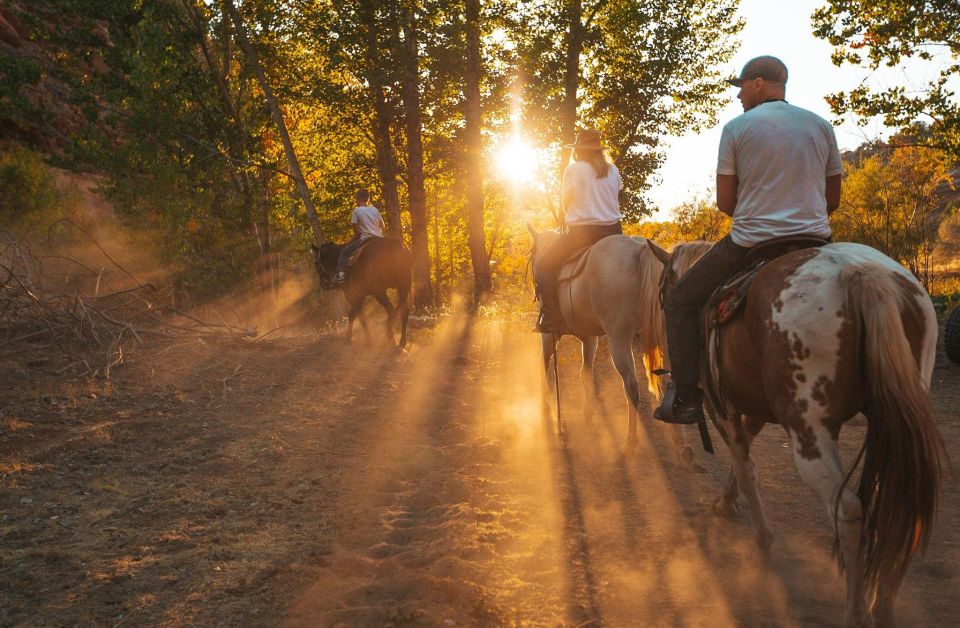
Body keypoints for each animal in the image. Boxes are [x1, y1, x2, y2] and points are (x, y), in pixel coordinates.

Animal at [524, 224, 688, 456]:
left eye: (532, 252)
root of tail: (640, 250)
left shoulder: (548, 334)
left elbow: (544, 363)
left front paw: (546, 406)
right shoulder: (590, 338)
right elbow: (585, 373)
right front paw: (587, 413)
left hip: (618, 338)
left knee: (631, 385)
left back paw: (630, 441)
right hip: (664, 336)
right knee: (672, 382)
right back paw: (682, 445)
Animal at [644, 238, 944, 624]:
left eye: (664, 289)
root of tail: (858, 273)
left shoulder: (718, 404)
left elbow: (746, 469)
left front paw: (762, 540)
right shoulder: (756, 407)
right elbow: (743, 457)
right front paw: (725, 502)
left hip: (809, 433)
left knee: (848, 510)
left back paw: (857, 612)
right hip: (894, 418)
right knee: (904, 500)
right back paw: (882, 605)